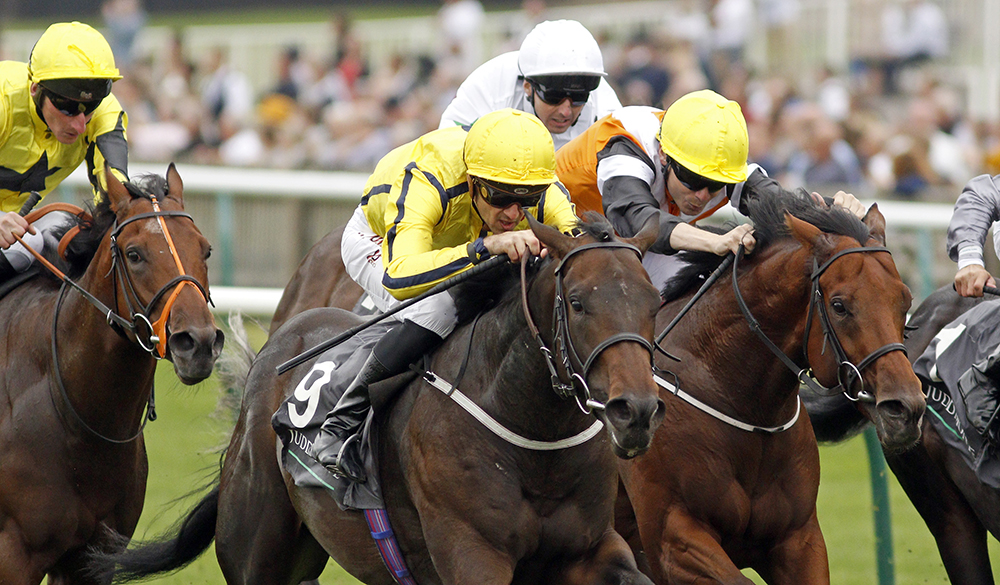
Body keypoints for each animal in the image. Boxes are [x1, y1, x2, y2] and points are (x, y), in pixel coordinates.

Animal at [92, 213, 672, 584]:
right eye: (577, 303)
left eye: (654, 299)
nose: (636, 411)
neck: (534, 438)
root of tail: (279, 341)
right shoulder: (472, 553)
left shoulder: (593, 547)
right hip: (258, 547)